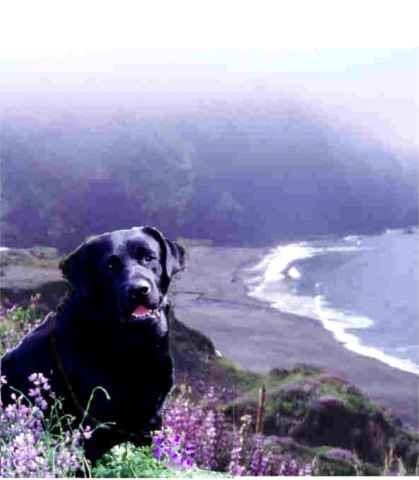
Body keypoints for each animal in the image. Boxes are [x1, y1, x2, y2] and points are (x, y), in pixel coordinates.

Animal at [0, 226, 185, 462]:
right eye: (109, 266)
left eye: (148, 257)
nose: (138, 290)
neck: (131, 347)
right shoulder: (96, 426)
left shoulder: (150, 422)